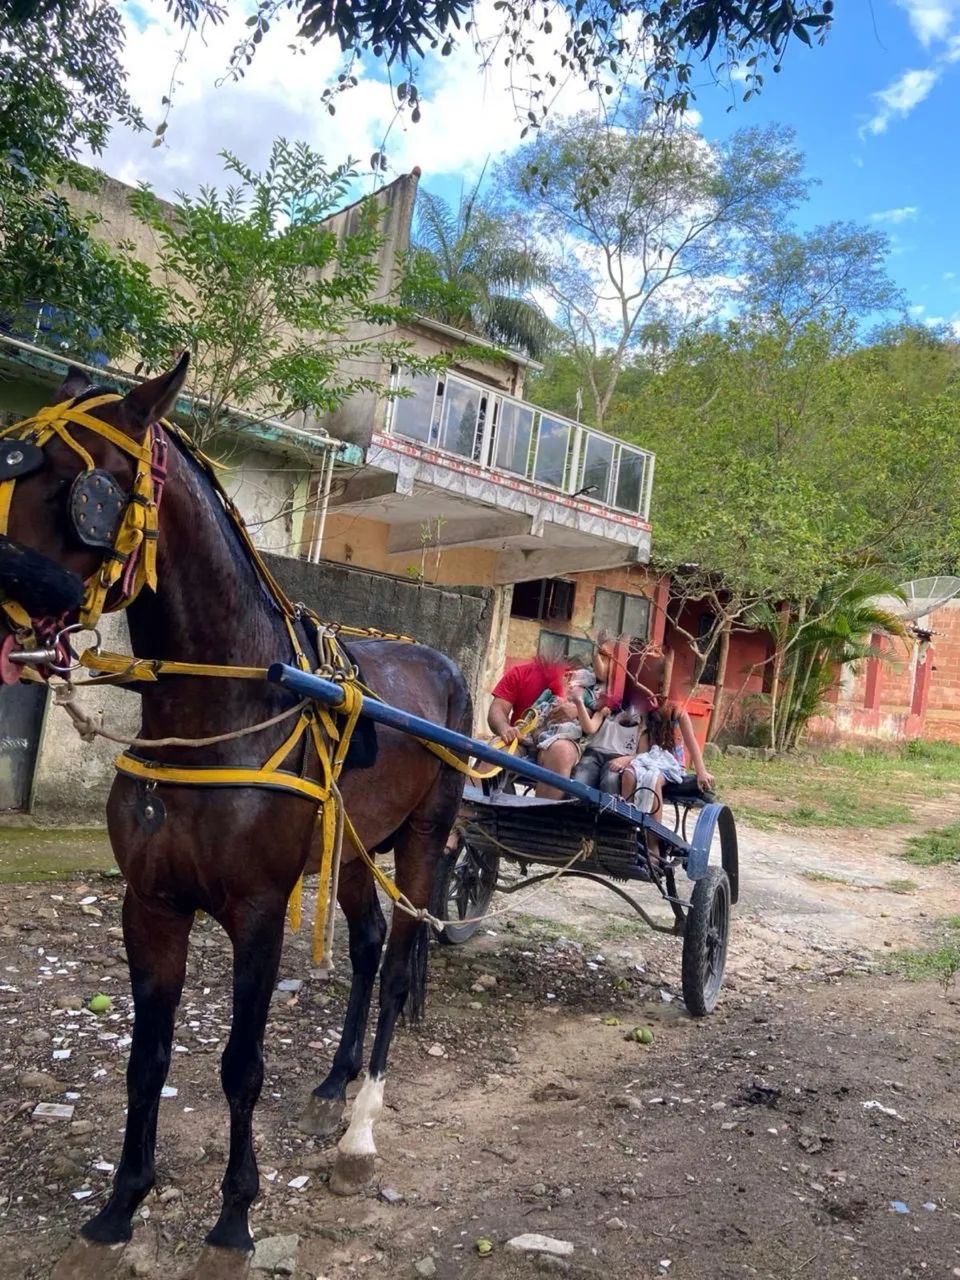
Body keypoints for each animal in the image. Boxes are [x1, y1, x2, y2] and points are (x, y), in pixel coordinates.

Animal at [0, 355, 472, 1258]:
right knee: (366, 948)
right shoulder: (150, 904)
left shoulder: (256, 909)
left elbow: (239, 1066)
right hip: (353, 847)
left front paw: (235, 1212)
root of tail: (447, 665)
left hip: (425, 840)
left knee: (398, 966)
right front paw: (123, 1200)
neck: (221, 709)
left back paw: (361, 1125)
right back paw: (334, 1079)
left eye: (84, 489)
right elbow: (146, 1060)